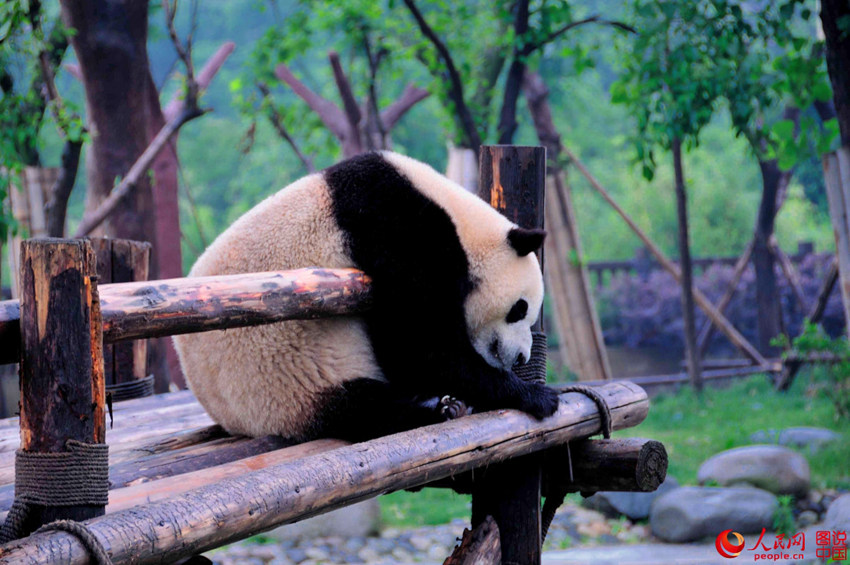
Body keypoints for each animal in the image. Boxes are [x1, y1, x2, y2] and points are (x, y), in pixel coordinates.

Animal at [171, 152, 556, 442]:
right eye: (519, 309)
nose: (522, 357)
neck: (460, 224)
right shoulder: (399, 229)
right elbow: (421, 344)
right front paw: (536, 396)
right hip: (279, 381)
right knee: (360, 408)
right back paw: (438, 409)